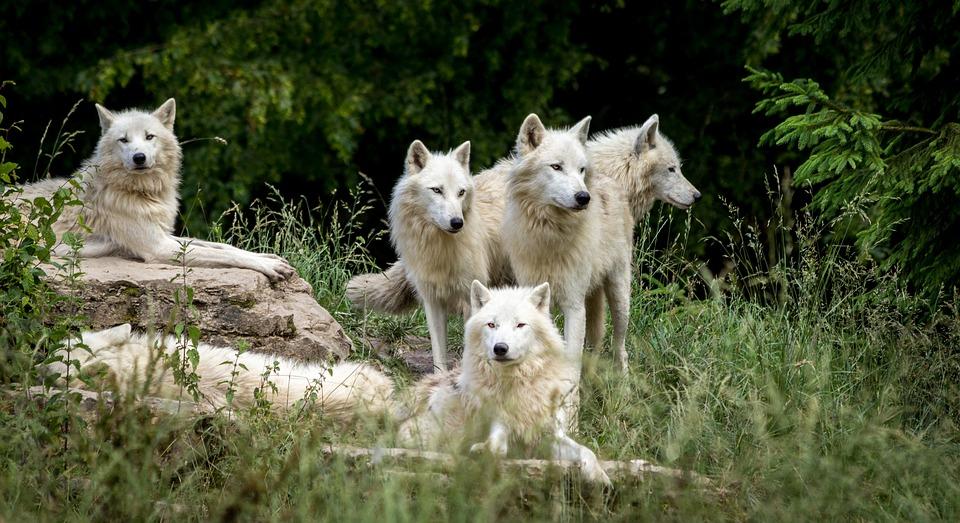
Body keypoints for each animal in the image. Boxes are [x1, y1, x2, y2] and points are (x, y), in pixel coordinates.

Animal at [15, 96, 292, 280]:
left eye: (149, 137)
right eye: (123, 140)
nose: (139, 157)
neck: (142, 193)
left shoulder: (165, 235)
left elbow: (221, 246)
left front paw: (268, 258)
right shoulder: (159, 248)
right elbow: (224, 255)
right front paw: (270, 267)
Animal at [400, 282, 616, 488]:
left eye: (520, 324)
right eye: (491, 324)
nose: (500, 348)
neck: (519, 383)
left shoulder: (550, 436)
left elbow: (586, 451)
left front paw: (599, 477)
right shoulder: (500, 423)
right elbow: (497, 444)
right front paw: (484, 450)